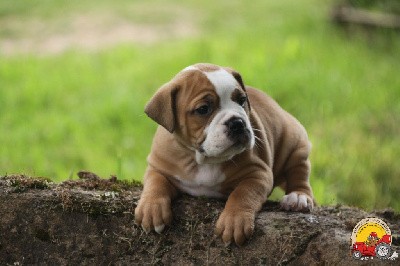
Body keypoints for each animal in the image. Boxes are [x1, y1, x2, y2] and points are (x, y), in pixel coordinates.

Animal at [136, 63, 314, 246]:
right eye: (203, 109)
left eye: (242, 100)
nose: (238, 123)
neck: (203, 159)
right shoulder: (158, 167)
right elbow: (155, 184)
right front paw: (151, 209)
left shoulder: (258, 174)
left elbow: (242, 193)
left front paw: (234, 222)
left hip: (295, 144)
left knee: (299, 173)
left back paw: (297, 198)